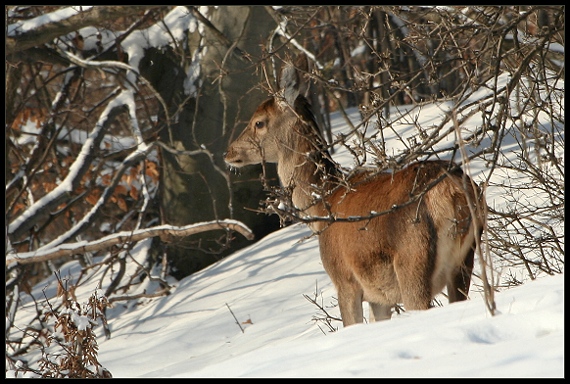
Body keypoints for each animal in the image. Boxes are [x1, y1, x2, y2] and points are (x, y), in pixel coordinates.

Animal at [224, 57, 482, 328]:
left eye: (259, 122)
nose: (229, 152)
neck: (323, 204)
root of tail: (452, 192)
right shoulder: (379, 295)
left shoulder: (344, 279)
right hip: (465, 259)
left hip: (413, 260)